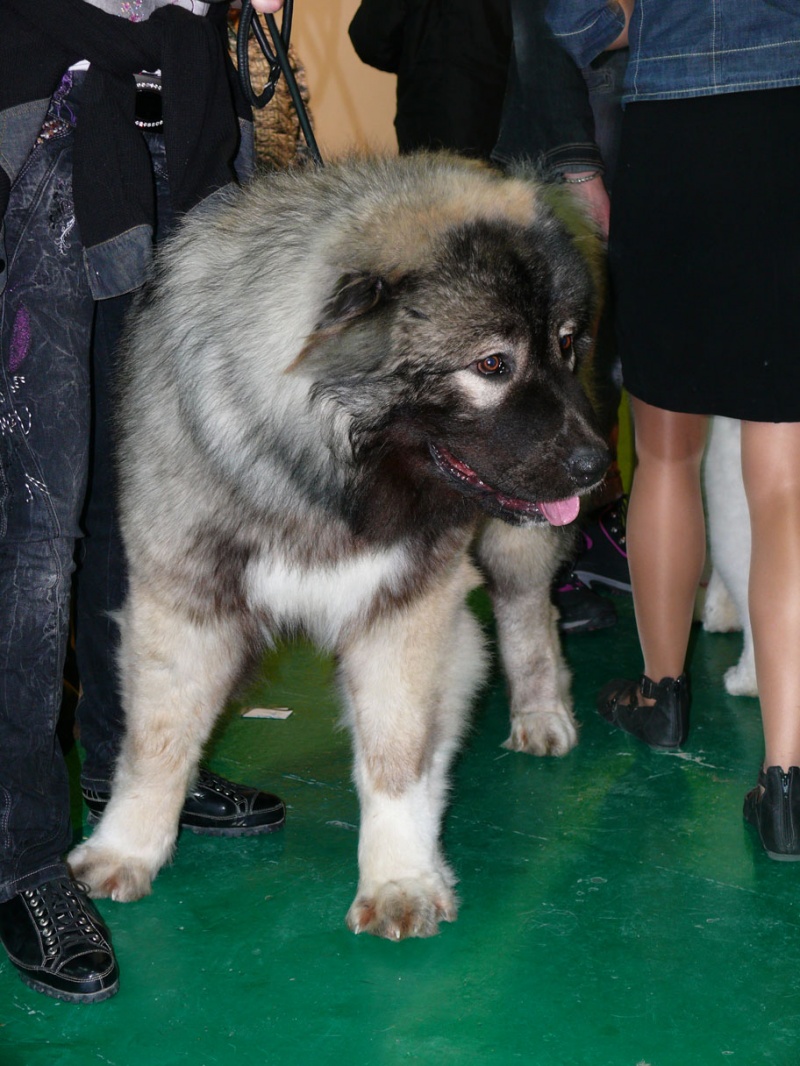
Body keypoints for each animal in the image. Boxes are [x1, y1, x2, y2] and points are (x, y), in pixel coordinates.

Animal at [68, 154, 609, 939]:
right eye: (492, 365)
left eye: (565, 344)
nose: (596, 463)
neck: (324, 473)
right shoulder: (186, 593)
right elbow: (158, 742)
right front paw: (126, 848)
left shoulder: (403, 605)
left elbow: (394, 754)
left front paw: (400, 877)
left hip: (517, 544)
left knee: (528, 616)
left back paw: (541, 713)